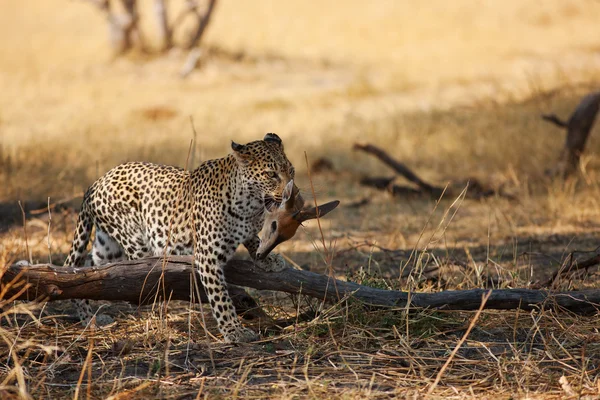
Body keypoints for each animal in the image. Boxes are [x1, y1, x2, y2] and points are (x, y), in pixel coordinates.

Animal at [63, 133, 300, 342]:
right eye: (271, 174)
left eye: (291, 170)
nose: (293, 193)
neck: (251, 205)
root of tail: (97, 181)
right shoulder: (207, 257)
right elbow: (221, 299)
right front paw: (235, 331)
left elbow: (253, 240)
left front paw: (268, 259)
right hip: (135, 242)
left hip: (107, 248)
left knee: (89, 270)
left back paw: (89, 317)